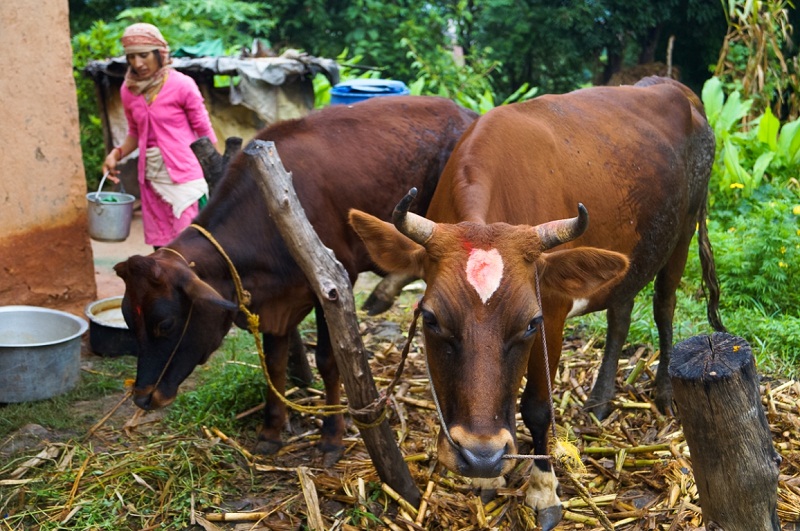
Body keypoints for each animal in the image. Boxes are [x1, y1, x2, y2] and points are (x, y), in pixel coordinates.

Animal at [111, 95, 476, 466]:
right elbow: (274, 366)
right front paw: (271, 432)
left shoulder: (333, 284)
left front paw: (331, 438)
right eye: (130, 321)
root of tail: (464, 111)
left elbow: (329, 363)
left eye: (166, 324)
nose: (143, 397)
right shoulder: (274, 304)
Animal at [350, 77, 724, 528]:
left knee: (664, 306)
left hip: (683, 231)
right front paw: (489, 479)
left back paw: (665, 391)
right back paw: (600, 400)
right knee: (620, 312)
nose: (481, 456)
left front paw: (544, 490)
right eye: (431, 318)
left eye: (530, 323)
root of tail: (674, 86)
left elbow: (538, 408)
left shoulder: (556, 313)